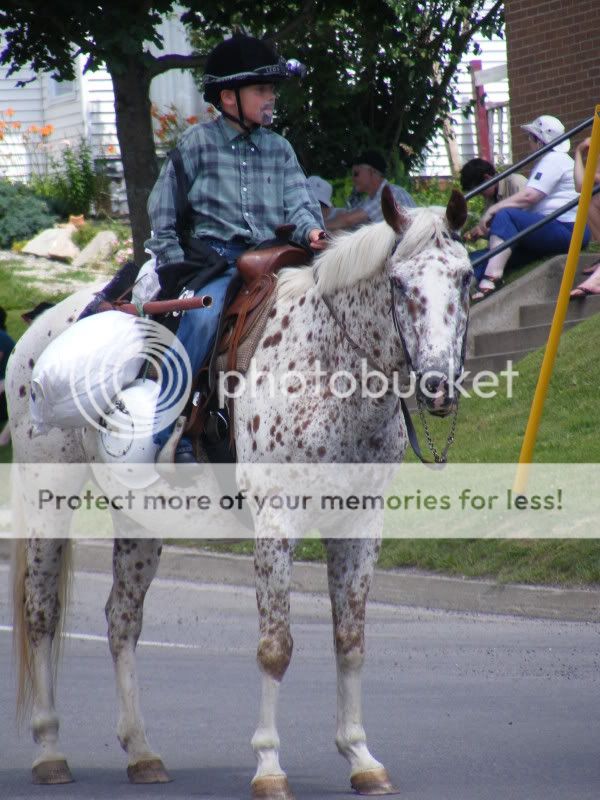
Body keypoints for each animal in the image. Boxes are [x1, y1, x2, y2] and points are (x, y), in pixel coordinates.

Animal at [7, 184, 472, 796]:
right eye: (398, 282)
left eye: (465, 277)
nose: (439, 385)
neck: (328, 365)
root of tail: (42, 328)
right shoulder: (276, 522)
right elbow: (275, 647)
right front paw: (269, 766)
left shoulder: (359, 523)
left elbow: (350, 640)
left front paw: (361, 757)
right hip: (48, 495)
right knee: (40, 611)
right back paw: (48, 751)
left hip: (140, 518)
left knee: (121, 618)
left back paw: (142, 752)